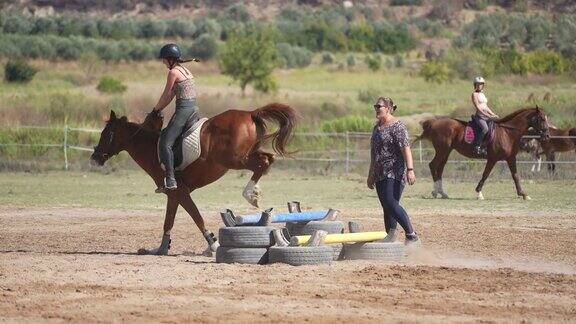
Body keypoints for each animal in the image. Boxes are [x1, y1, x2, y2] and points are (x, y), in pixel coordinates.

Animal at [91, 104, 296, 256]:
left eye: (105, 134)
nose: (95, 157)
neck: (151, 149)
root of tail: (250, 113)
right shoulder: (173, 195)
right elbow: (168, 222)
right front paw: (161, 249)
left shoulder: (181, 192)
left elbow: (197, 218)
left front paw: (213, 245)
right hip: (245, 154)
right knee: (268, 159)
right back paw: (254, 192)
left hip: (234, 159)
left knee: (262, 162)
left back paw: (250, 194)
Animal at [414, 107, 548, 200]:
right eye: (542, 119)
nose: (547, 135)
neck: (507, 132)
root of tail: (434, 123)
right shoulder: (493, 158)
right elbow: (485, 174)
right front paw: (479, 193)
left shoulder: (511, 158)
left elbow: (515, 176)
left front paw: (523, 194)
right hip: (442, 150)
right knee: (433, 165)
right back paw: (436, 192)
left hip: (446, 151)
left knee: (440, 168)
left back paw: (441, 192)